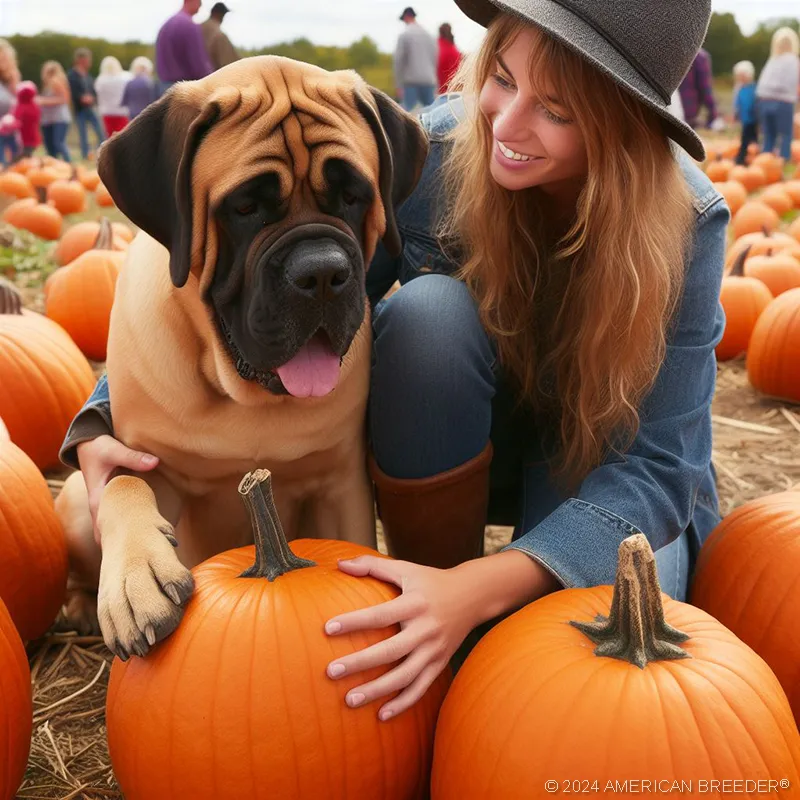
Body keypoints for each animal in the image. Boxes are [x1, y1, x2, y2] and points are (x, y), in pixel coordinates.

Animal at [57, 54, 428, 656]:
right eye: (246, 206)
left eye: (354, 197)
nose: (321, 273)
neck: (243, 397)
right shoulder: (141, 458)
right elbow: (122, 483)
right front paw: (137, 575)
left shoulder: (341, 484)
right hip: (69, 498)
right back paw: (79, 604)